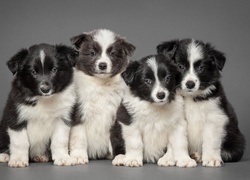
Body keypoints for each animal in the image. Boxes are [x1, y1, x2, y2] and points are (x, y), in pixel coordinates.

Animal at [69, 28, 136, 165]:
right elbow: (79, 137)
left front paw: (121, 156)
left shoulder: (117, 113)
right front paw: (78, 156)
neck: (101, 84)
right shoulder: (78, 112)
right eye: (92, 53)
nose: (102, 65)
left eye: (112, 53)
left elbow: (118, 137)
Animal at [157, 38, 245, 167]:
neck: (190, 97)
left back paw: (199, 156)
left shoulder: (214, 117)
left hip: (236, 140)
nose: (190, 84)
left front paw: (212, 158)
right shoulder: (175, 119)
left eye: (201, 68)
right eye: (180, 66)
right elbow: (176, 141)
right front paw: (169, 158)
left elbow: (211, 141)